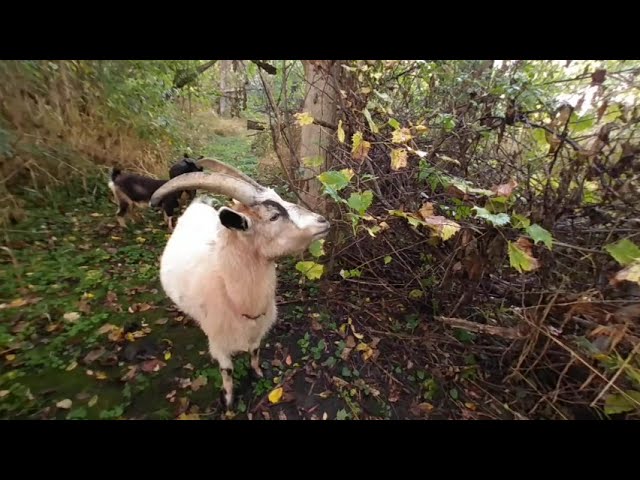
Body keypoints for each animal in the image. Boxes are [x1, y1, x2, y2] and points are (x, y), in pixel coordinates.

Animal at [150, 158, 330, 408]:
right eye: (273, 217)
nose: (323, 221)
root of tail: (200, 202)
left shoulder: (257, 330)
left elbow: (254, 352)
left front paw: (257, 373)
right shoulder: (218, 343)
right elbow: (227, 370)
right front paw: (228, 400)